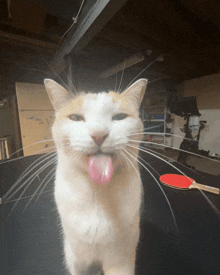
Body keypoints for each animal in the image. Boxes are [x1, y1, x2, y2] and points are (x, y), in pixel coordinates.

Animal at [44, 77, 148, 275]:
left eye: (120, 117)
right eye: (75, 118)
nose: (99, 134)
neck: (98, 192)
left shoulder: (121, 262)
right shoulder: (79, 260)